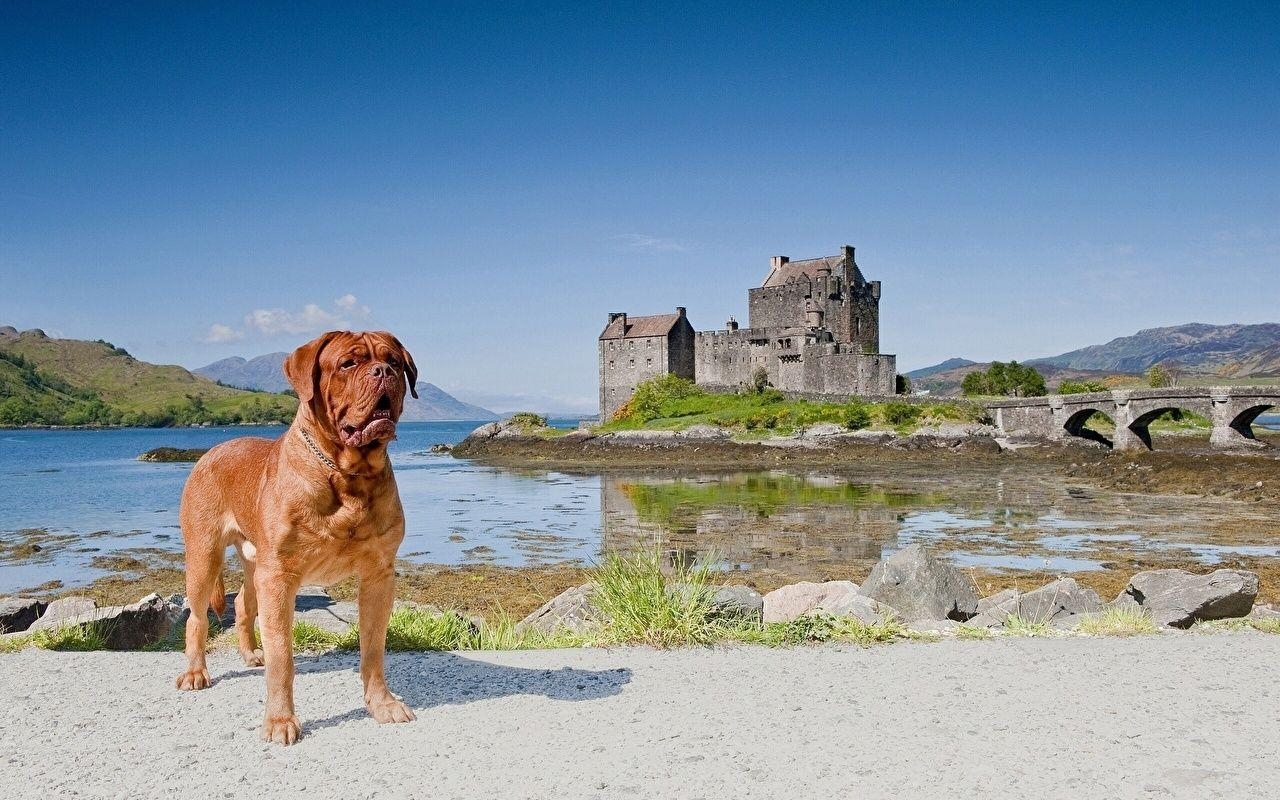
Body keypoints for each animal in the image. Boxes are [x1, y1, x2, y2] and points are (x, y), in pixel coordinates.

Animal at [175, 330, 419, 742]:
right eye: (348, 364)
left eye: (395, 362)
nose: (383, 371)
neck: (346, 474)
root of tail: (211, 450)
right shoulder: (279, 577)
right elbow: (282, 658)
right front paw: (280, 720)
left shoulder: (378, 575)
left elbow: (373, 648)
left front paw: (382, 704)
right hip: (204, 555)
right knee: (197, 617)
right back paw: (195, 672)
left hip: (254, 561)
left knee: (243, 603)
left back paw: (250, 654)